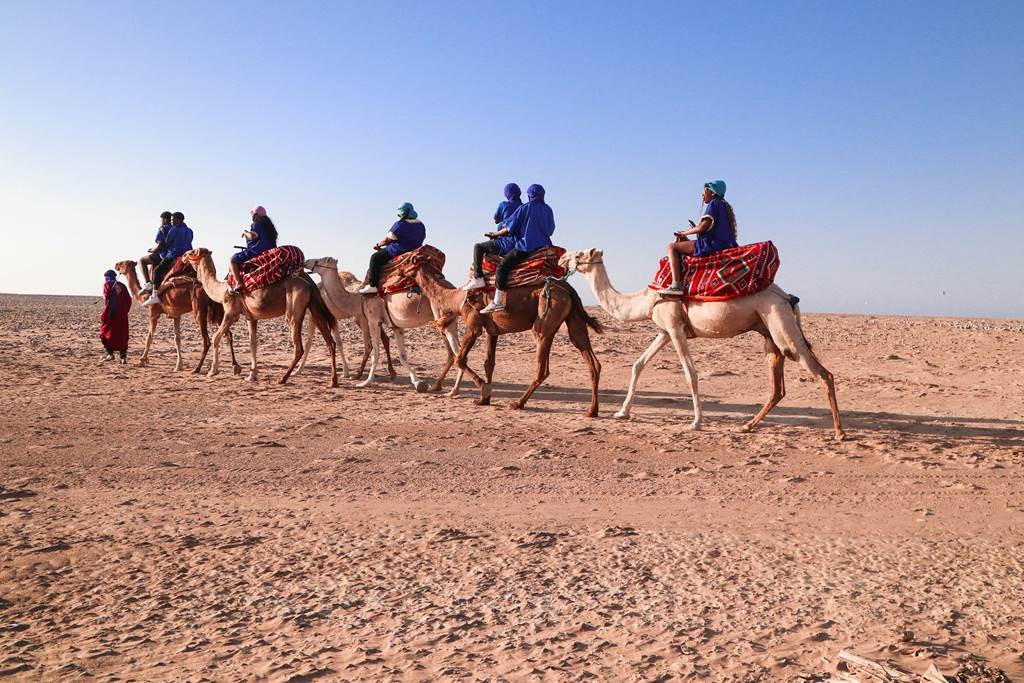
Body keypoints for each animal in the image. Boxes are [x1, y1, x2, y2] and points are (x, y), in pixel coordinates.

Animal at [185, 248, 338, 387]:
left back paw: (283, 379)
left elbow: (216, 338)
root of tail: (309, 284)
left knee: (298, 346)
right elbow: (253, 344)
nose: (184, 256)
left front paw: (212, 371)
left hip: (294, 311)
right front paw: (251, 376)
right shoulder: (251, 318)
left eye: (192, 252)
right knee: (330, 341)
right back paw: (333, 381)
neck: (221, 290)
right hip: (314, 307)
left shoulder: (231, 313)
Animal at [413, 257, 603, 417]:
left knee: (542, 366)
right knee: (590, 358)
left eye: (408, 261)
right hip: (574, 318)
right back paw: (591, 411)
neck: (455, 298)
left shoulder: (473, 324)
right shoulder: (492, 331)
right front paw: (484, 399)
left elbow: (460, 359)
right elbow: (489, 363)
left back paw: (518, 403)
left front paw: (483, 389)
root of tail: (569, 290)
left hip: (547, 314)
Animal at [560, 248, 844, 439]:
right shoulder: (665, 330)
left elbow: (691, 373)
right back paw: (747, 425)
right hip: (769, 333)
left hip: (780, 324)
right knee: (778, 387)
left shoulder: (675, 328)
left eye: (580, 252)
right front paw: (622, 412)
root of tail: (787, 297)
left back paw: (839, 432)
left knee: (822, 373)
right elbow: (638, 364)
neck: (646, 299)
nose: (562, 258)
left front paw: (696, 422)